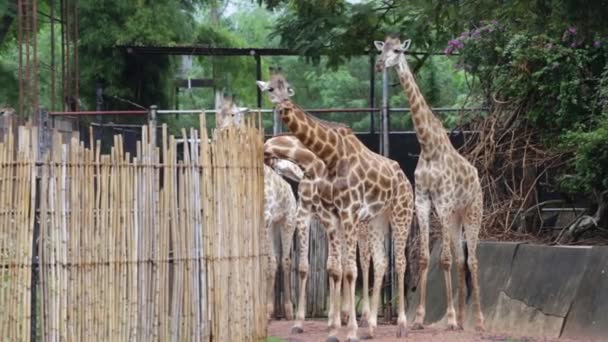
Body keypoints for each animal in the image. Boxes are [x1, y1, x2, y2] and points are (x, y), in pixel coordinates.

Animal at [256, 71, 414, 340]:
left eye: (286, 87)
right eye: (269, 89)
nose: (282, 104)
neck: (327, 157)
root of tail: (405, 177)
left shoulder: (347, 213)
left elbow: (349, 270)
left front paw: (347, 329)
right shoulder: (327, 215)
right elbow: (332, 267)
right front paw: (331, 327)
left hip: (400, 213)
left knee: (399, 261)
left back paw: (401, 325)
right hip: (377, 219)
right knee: (381, 261)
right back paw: (371, 326)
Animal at [372, 36, 486, 332]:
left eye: (397, 50)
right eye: (381, 49)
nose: (379, 65)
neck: (428, 145)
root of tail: (477, 177)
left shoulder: (443, 202)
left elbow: (443, 260)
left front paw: (449, 318)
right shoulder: (423, 201)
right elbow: (425, 258)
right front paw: (420, 318)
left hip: (472, 211)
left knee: (473, 260)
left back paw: (478, 322)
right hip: (456, 217)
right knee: (461, 260)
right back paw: (462, 319)